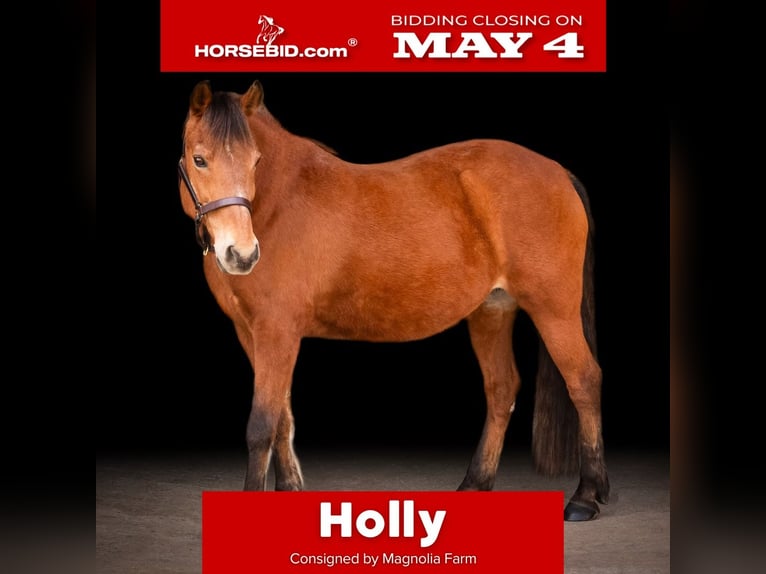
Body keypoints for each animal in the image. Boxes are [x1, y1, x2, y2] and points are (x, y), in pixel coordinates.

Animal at [177, 80, 610, 521]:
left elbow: (261, 424)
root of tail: (558, 173)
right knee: (501, 389)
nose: (241, 255)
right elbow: (282, 416)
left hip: (554, 310)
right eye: (200, 160)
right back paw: (475, 483)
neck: (278, 203)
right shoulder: (250, 332)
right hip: (492, 311)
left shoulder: (277, 333)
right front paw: (289, 488)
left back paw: (585, 496)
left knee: (584, 381)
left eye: (256, 161)